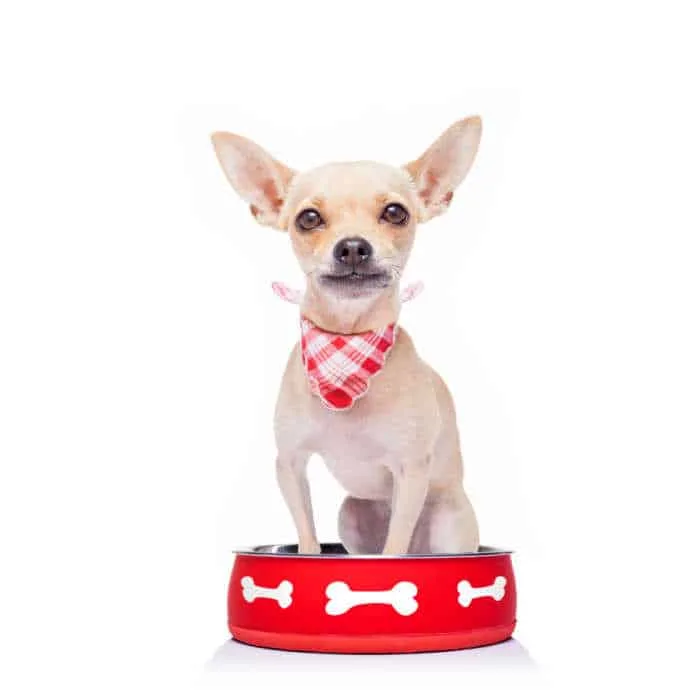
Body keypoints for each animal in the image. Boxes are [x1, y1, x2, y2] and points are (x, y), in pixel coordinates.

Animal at [212, 116, 482, 552]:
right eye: (308, 218)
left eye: (395, 212)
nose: (353, 246)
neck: (346, 345)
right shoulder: (290, 463)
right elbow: (307, 537)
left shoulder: (411, 472)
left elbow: (394, 548)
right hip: (352, 514)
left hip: (448, 523)